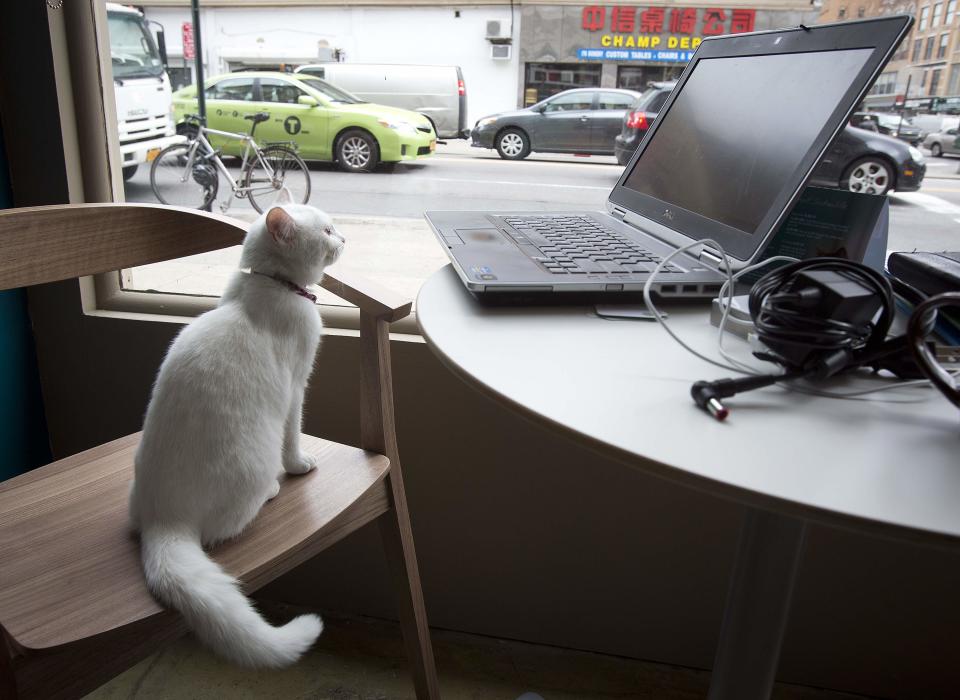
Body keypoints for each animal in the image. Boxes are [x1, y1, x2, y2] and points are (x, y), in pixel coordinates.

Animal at [129, 190, 344, 668]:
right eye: (326, 230)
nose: (343, 236)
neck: (268, 286)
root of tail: (162, 520)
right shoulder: (297, 386)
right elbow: (294, 434)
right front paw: (299, 465)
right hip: (253, 463)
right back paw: (272, 489)